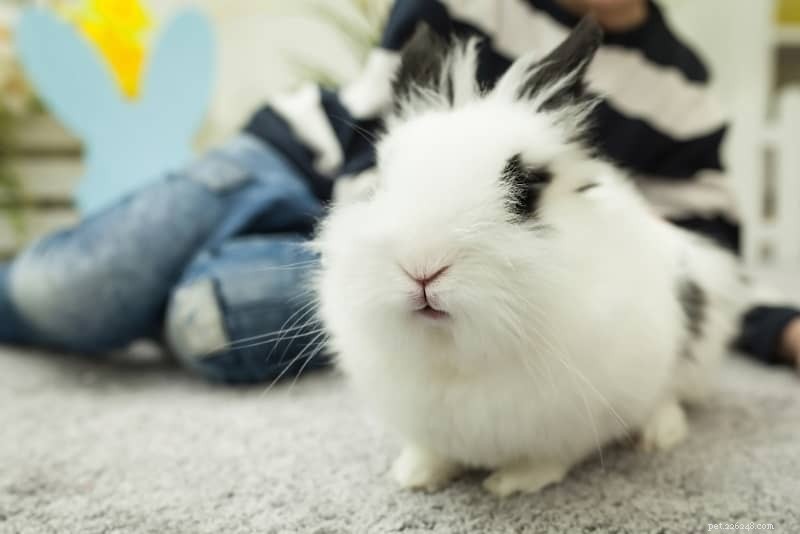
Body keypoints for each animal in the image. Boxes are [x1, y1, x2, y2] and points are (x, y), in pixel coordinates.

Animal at [314, 17, 745, 497]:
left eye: (527, 193)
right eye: (381, 182)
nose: (422, 269)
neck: (457, 358)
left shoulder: (577, 417)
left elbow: (550, 457)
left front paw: (511, 483)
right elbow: (434, 451)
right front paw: (416, 475)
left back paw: (660, 435)